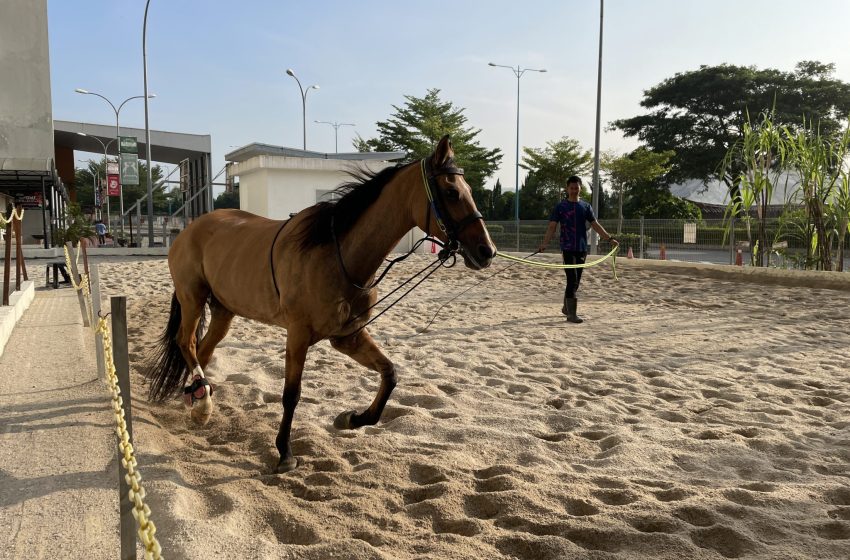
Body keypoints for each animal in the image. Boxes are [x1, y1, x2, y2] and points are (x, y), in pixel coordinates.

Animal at [143, 137, 494, 472]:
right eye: (451, 191)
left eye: (468, 190)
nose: (486, 250)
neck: (338, 255)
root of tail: (189, 229)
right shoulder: (298, 334)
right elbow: (291, 395)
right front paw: (285, 453)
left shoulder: (347, 337)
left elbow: (390, 374)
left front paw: (352, 418)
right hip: (192, 297)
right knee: (186, 342)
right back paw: (202, 403)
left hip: (223, 311)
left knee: (202, 351)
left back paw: (198, 399)